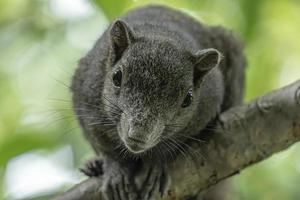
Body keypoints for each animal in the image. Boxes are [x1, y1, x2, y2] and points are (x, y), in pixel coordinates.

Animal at [71, 4, 246, 200]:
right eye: (116, 77)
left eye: (188, 99)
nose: (138, 135)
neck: (162, 34)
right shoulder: (86, 94)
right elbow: (102, 141)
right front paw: (115, 168)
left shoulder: (208, 104)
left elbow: (171, 146)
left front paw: (155, 165)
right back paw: (94, 166)